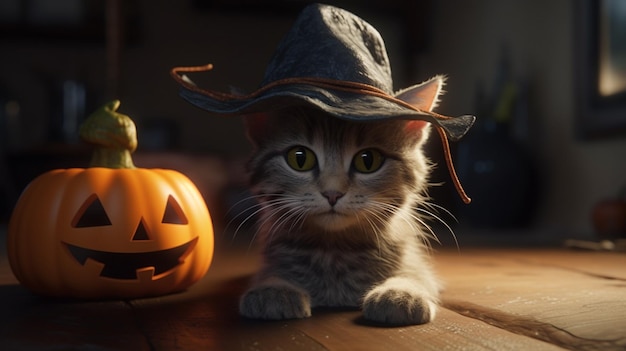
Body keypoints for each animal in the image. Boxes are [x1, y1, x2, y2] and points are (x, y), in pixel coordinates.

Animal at [235, 75, 444, 326]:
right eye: (299, 158)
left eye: (368, 160)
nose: (332, 193)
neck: (334, 249)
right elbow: (271, 271)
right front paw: (273, 288)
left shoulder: (413, 258)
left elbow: (416, 273)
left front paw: (402, 291)